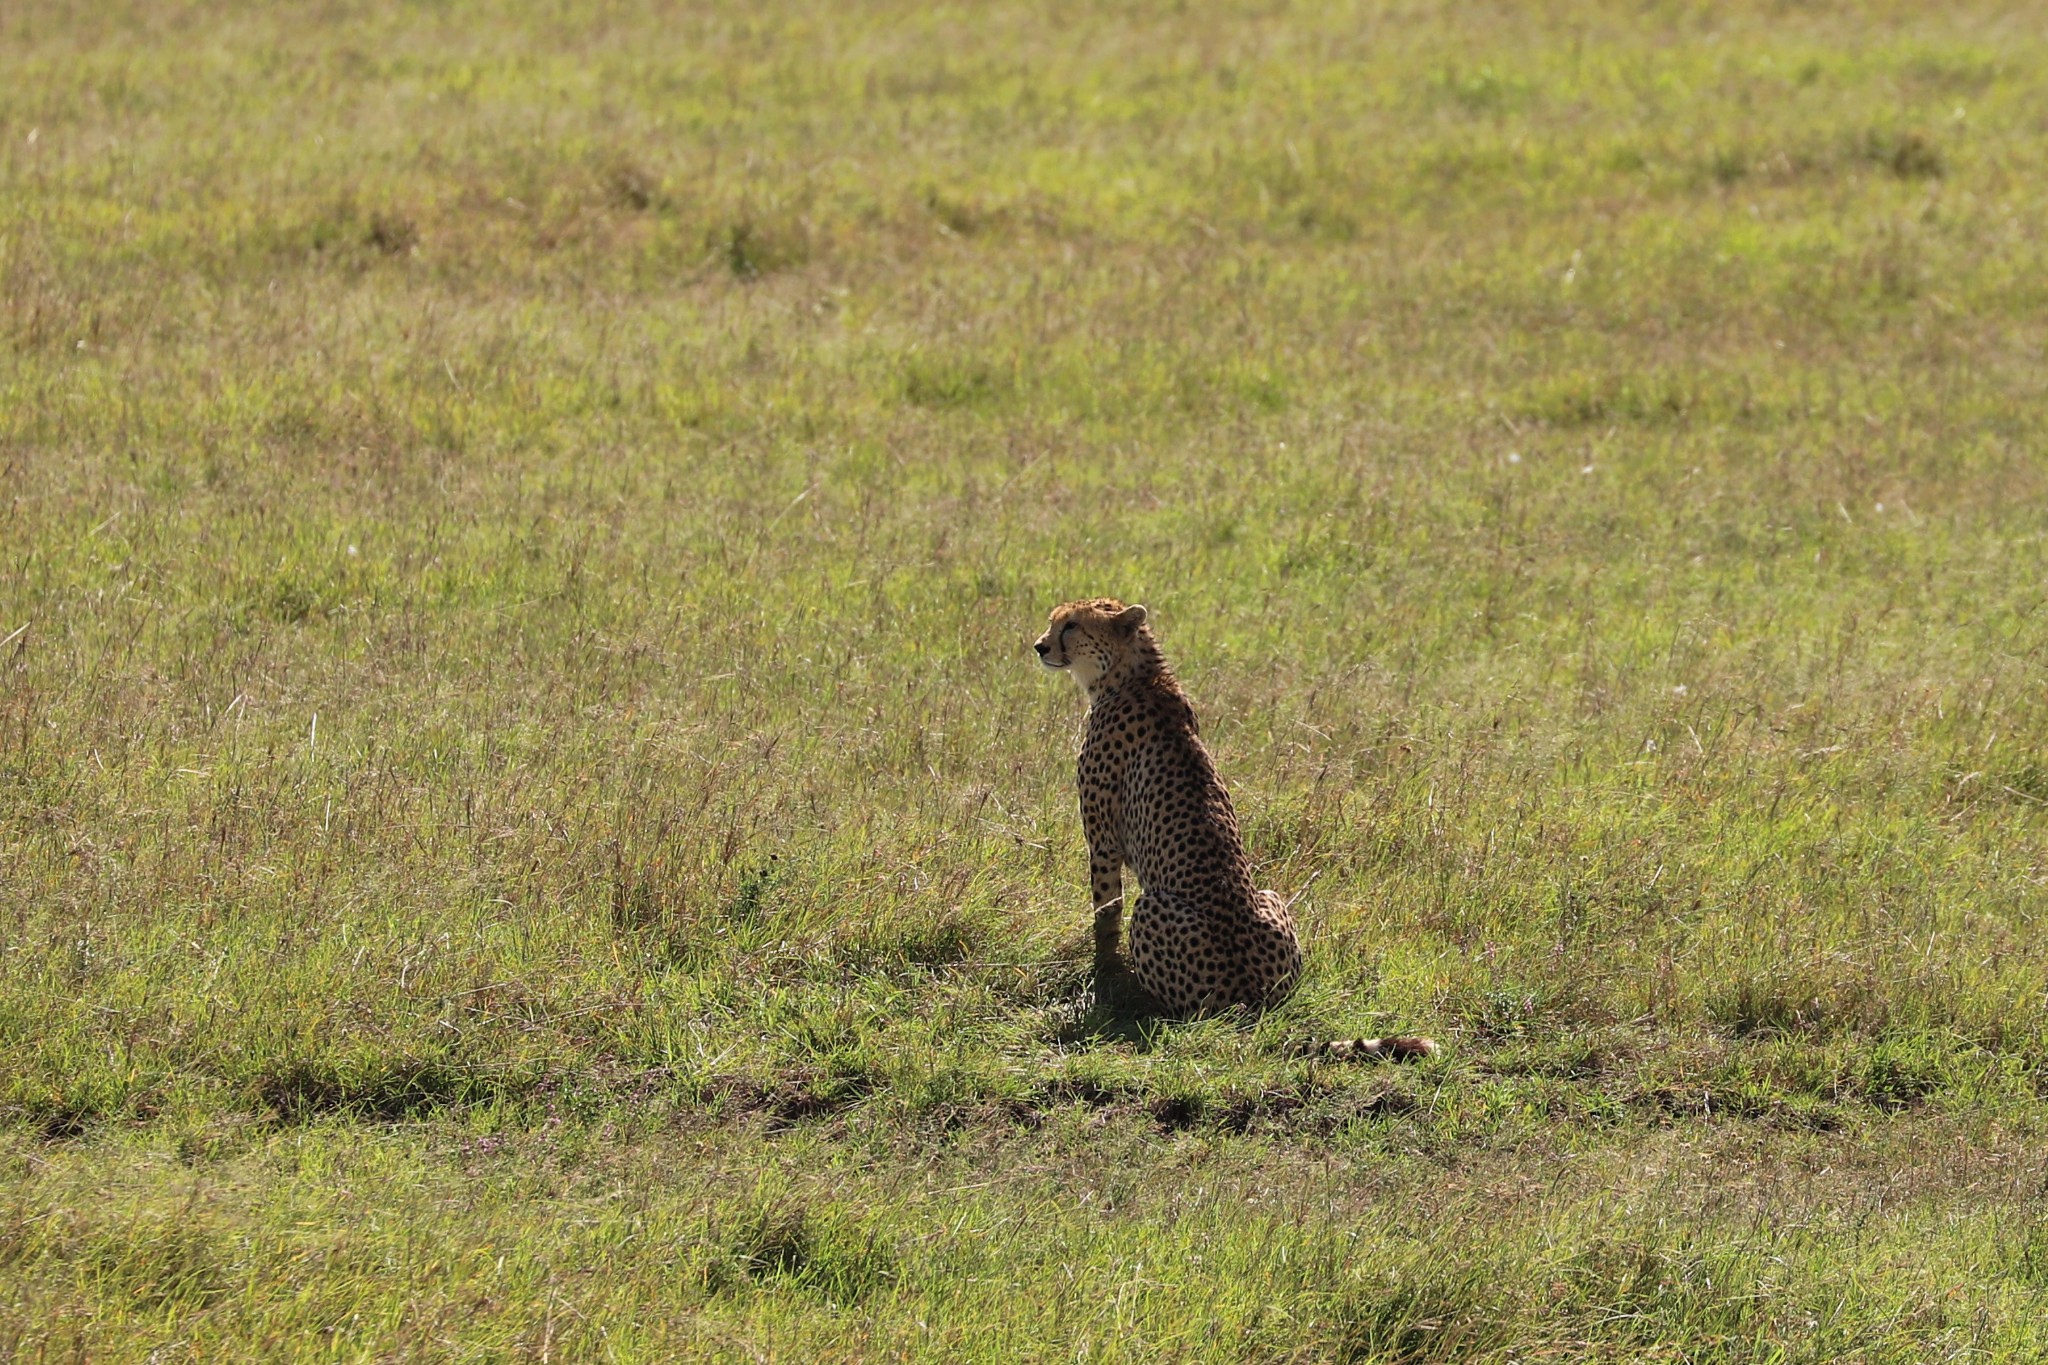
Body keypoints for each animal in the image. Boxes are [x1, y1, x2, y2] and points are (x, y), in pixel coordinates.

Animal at [1032, 597, 1433, 1055]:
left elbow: (1105, 913)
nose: (1040, 646)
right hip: (1271, 896)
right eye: (1055, 622)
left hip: (1153, 906)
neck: (1132, 674)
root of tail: (1250, 1000)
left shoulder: (1102, 841)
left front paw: (1103, 977)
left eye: (1071, 625)